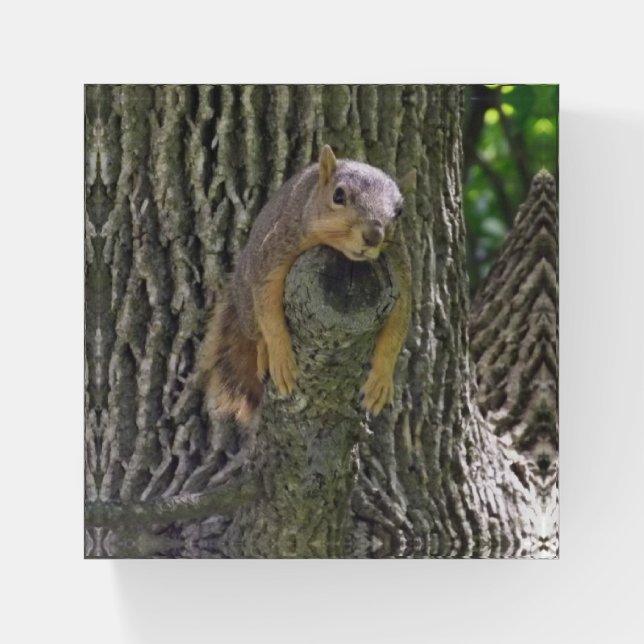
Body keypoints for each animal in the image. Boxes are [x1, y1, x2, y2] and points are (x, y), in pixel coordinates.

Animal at [197, 144, 415, 426]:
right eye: (338, 195)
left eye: (399, 211)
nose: (373, 235)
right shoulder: (277, 249)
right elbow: (269, 308)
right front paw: (280, 357)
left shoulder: (399, 272)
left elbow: (396, 330)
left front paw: (381, 381)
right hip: (247, 302)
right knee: (256, 331)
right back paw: (264, 352)